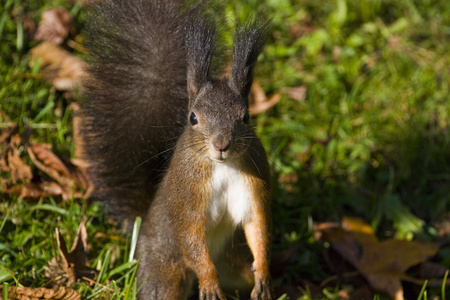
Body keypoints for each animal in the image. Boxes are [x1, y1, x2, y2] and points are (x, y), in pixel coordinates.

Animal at [79, 0, 272, 298]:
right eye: (193, 118)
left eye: (246, 117)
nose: (222, 145)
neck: (223, 166)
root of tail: (141, 230)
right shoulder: (186, 192)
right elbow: (190, 235)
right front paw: (209, 282)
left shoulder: (253, 182)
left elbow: (257, 226)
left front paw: (263, 273)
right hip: (163, 273)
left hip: (234, 268)